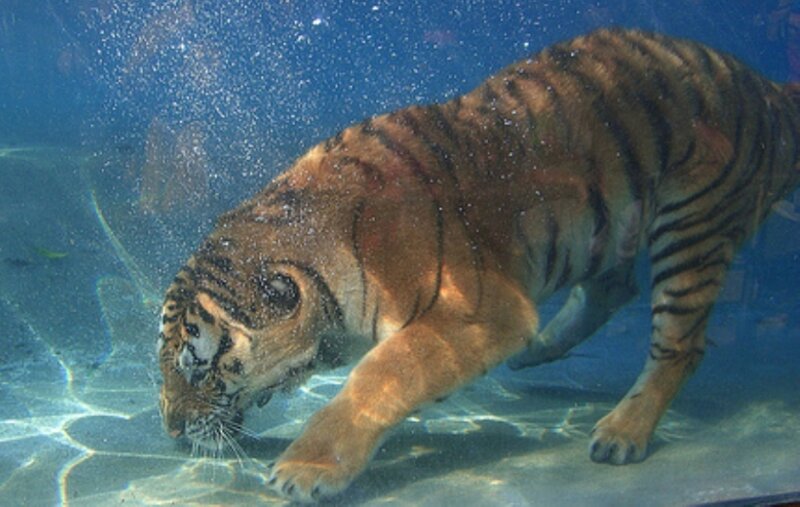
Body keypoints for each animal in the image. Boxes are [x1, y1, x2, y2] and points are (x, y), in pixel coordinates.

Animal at [157, 28, 800, 502]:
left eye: (200, 369)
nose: (171, 433)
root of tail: (768, 86)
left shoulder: (476, 312)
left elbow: (381, 373)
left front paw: (307, 468)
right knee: (613, 286)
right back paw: (540, 353)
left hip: (694, 224)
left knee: (679, 343)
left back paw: (622, 433)